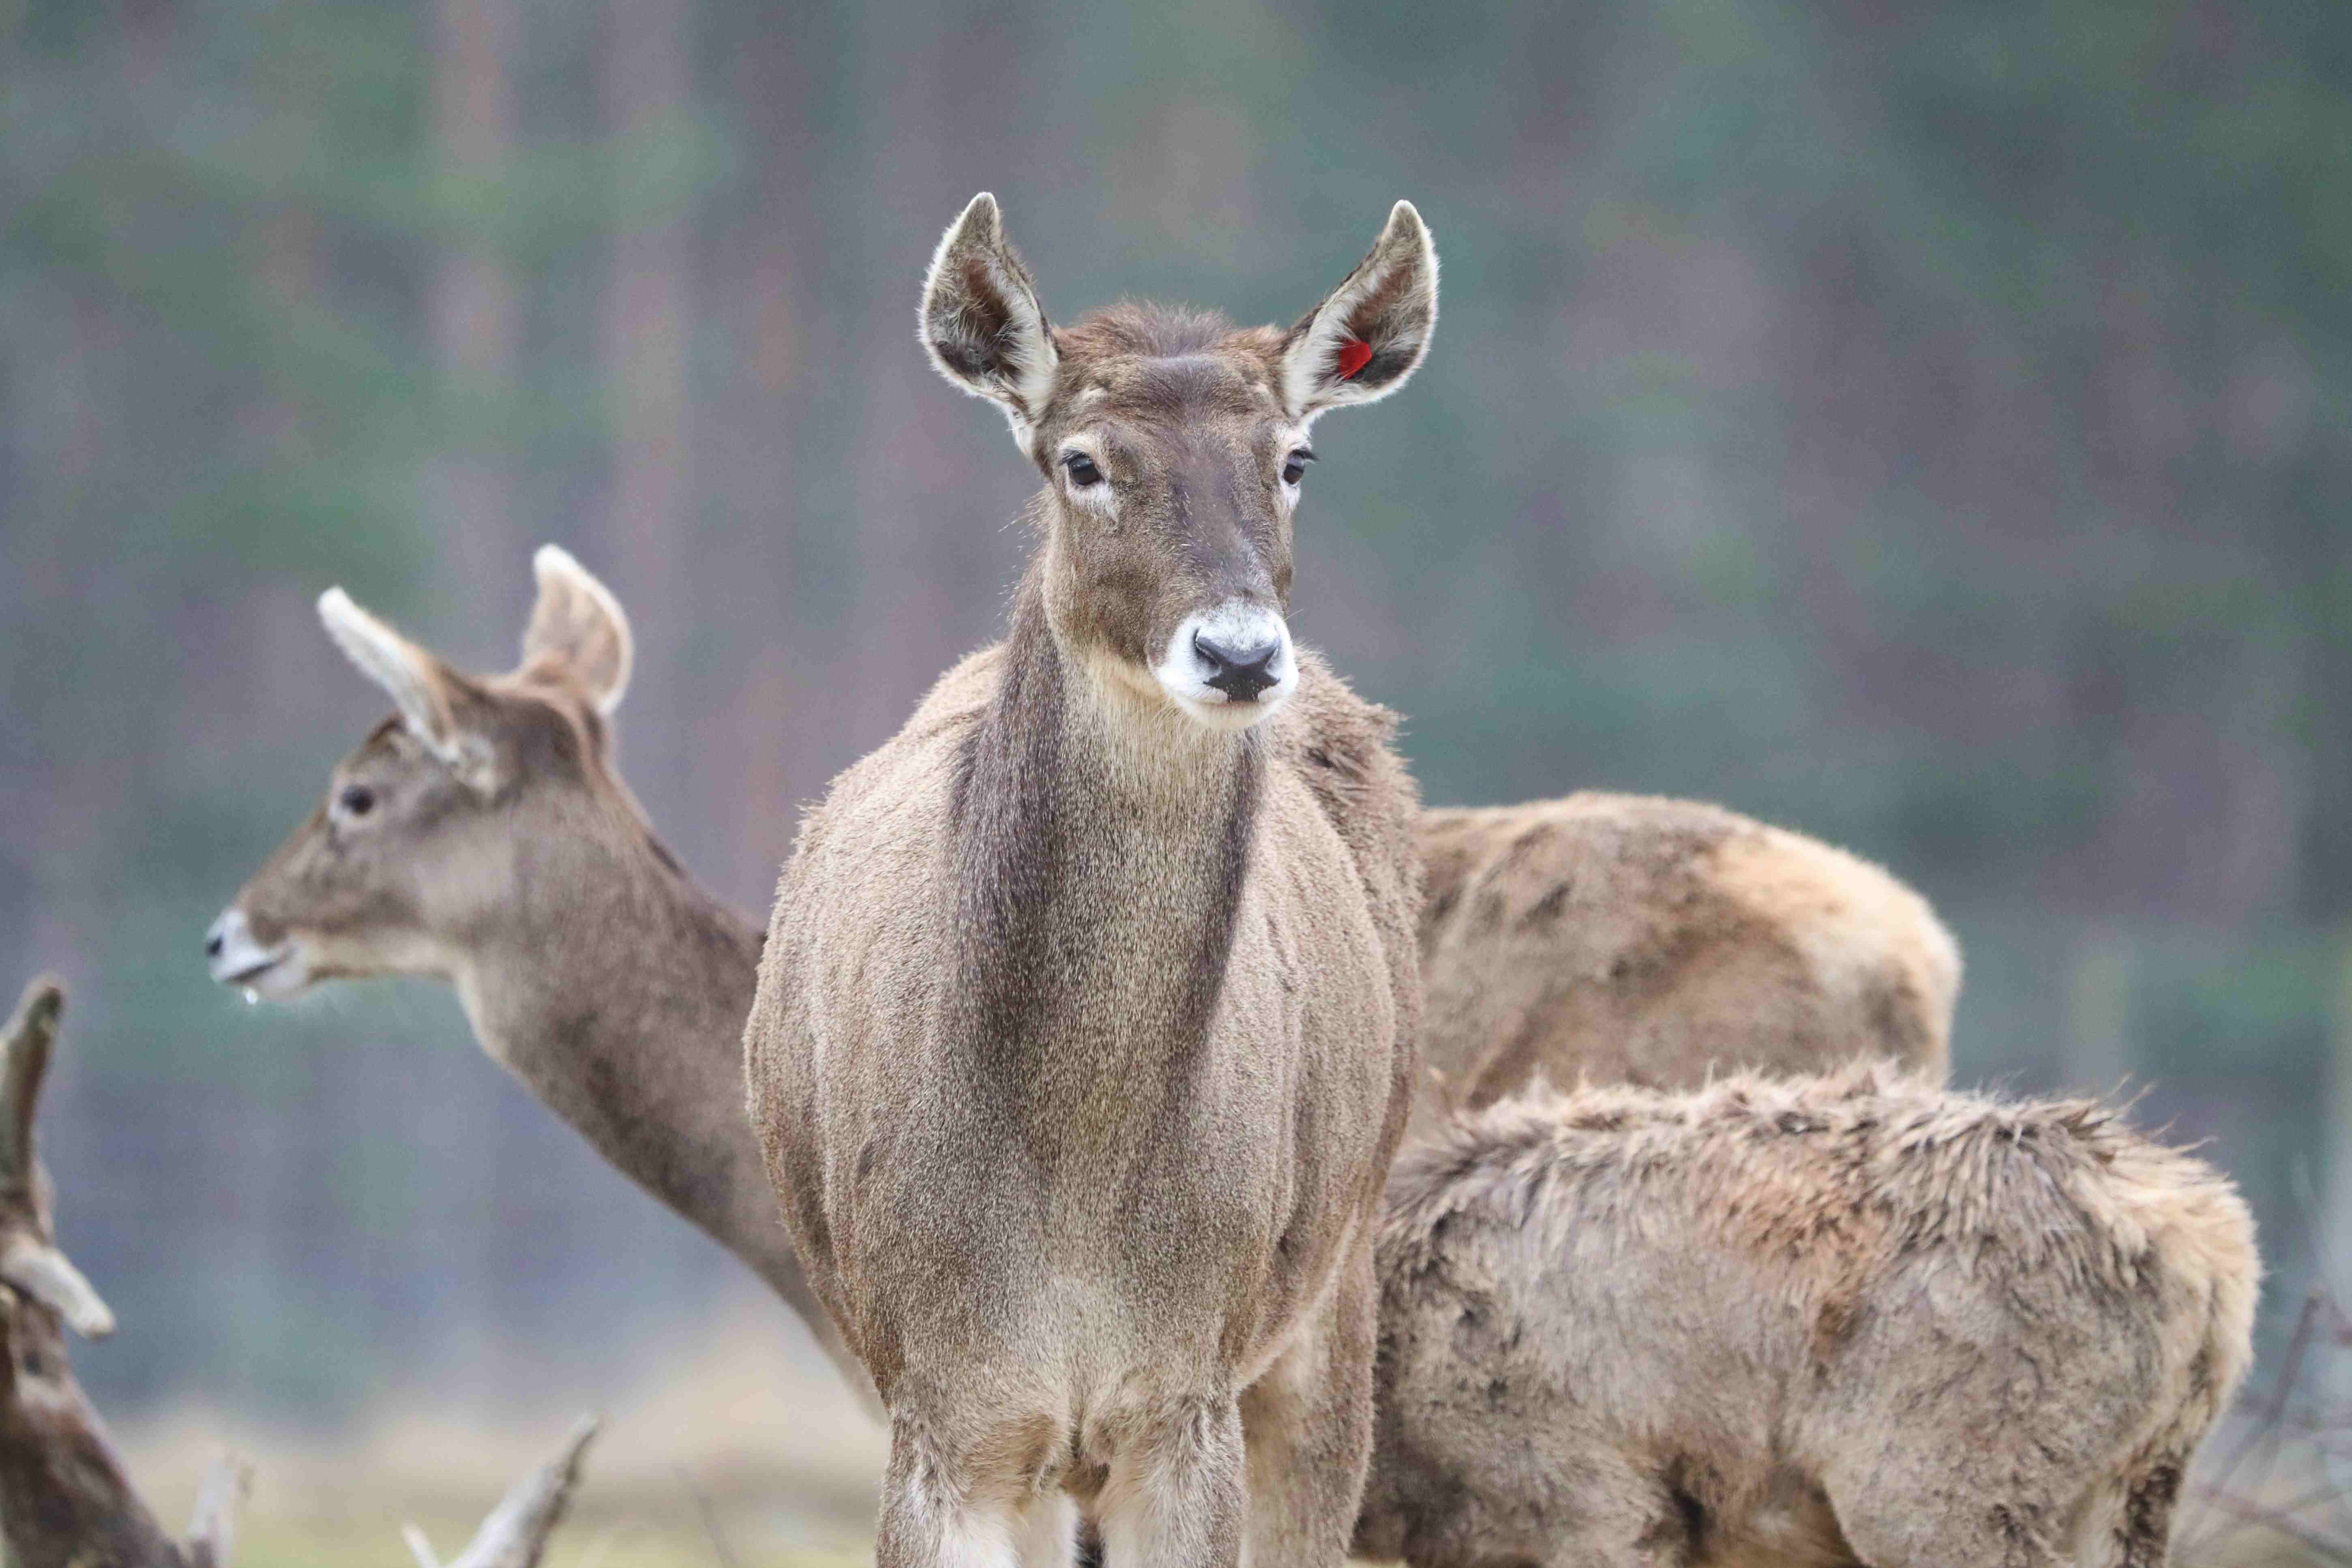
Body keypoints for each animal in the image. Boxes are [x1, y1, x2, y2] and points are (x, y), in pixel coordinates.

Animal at [739, 193, 1438, 1568]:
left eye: (1294, 460)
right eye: (1083, 463)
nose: (1238, 653)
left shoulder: (1188, 1390)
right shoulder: (942, 1400)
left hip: (1330, 1312)